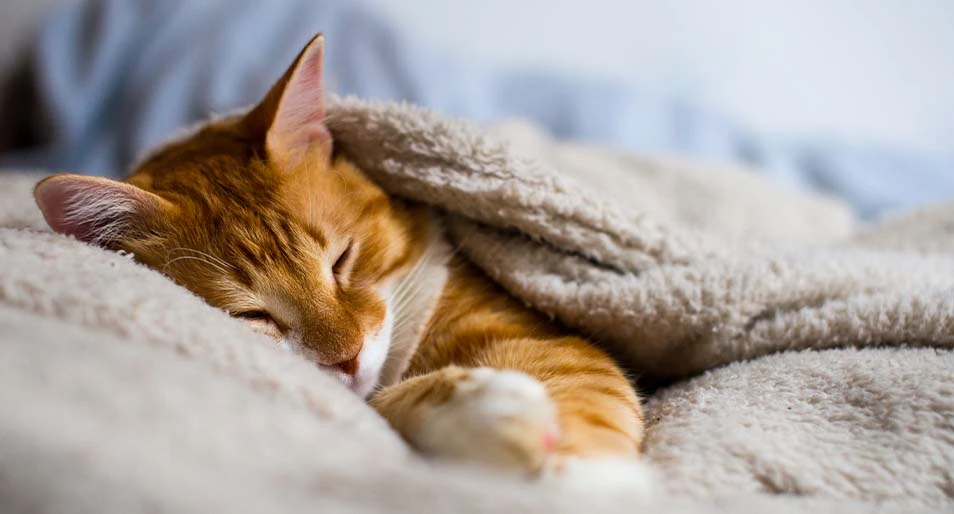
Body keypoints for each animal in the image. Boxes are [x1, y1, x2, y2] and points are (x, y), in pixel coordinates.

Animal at [33, 31, 644, 472]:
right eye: (250, 314)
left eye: (341, 260)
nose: (347, 358)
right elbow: (389, 405)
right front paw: (481, 413)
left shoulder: (552, 344)